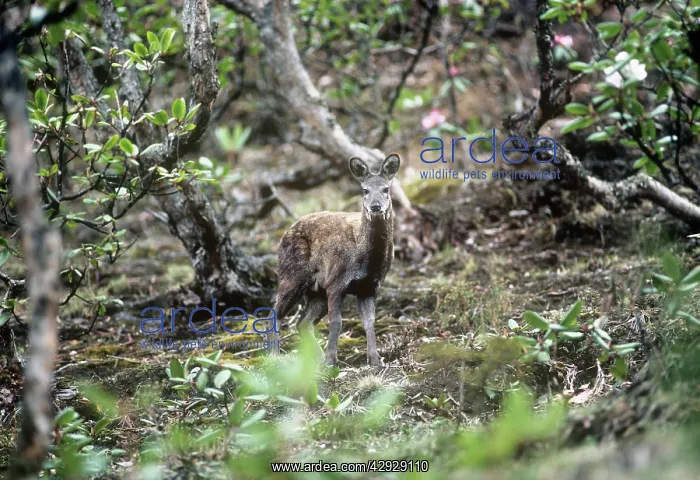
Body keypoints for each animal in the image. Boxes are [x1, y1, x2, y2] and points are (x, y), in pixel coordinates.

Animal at [271, 153, 401, 366]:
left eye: (386, 189)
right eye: (364, 190)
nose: (375, 207)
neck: (365, 258)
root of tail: (285, 232)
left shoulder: (369, 287)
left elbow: (369, 322)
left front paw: (375, 360)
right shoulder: (336, 282)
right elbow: (337, 322)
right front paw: (331, 360)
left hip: (317, 291)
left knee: (303, 322)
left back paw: (315, 358)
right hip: (292, 275)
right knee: (275, 312)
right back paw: (272, 356)